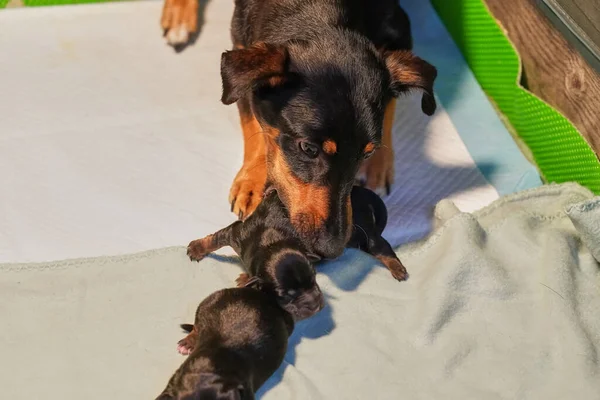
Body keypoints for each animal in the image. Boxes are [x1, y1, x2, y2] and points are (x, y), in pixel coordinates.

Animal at [163, 0, 436, 260]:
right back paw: (178, 15)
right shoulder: (241, 44)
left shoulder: (400, 30)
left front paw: (379, 165)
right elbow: (252, 121)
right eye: (308, 148)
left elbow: (391, 102)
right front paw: (252, 181)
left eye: (366, 152)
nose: (333, 249)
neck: (320, 13)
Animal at [189, 186, 408, 304]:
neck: (271, 242)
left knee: (383, 248)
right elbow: (216, 239)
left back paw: (398, 269)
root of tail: (361, 193)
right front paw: (198, 248)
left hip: (366, 235)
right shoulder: (238, 233)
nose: (317, 300)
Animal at [190, 190, 326, 322]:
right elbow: (216, 240)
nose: (315, 306)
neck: (271, 242)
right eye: (284, 295)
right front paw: (197, 248)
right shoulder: (237, 235)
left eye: (314, 277)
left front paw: (246, 278)